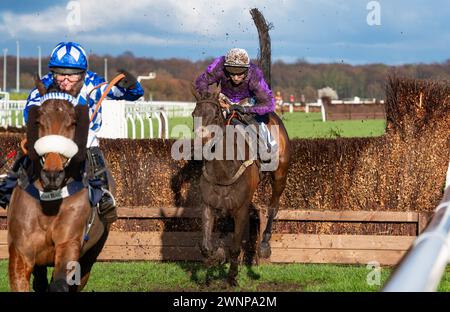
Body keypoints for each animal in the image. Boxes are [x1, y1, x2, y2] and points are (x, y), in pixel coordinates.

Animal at [7, 79, 107, 292]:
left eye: (73, 122)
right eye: (38, 121)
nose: (52, 174)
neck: (49, 202)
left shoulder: (69, 243)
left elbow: (60, 282)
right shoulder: (21, 252)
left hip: (92, 253)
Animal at [192, 90, 290, 286]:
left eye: (215, 115)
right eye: (193, 114)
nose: (200, 146)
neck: (223, 171)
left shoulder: (242, 209)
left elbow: (235, 247)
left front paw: (232, 276)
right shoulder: (208, 205)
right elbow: (206, 247)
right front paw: (215, 258)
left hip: (280, 175)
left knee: (273, 207)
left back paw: (265, 244)